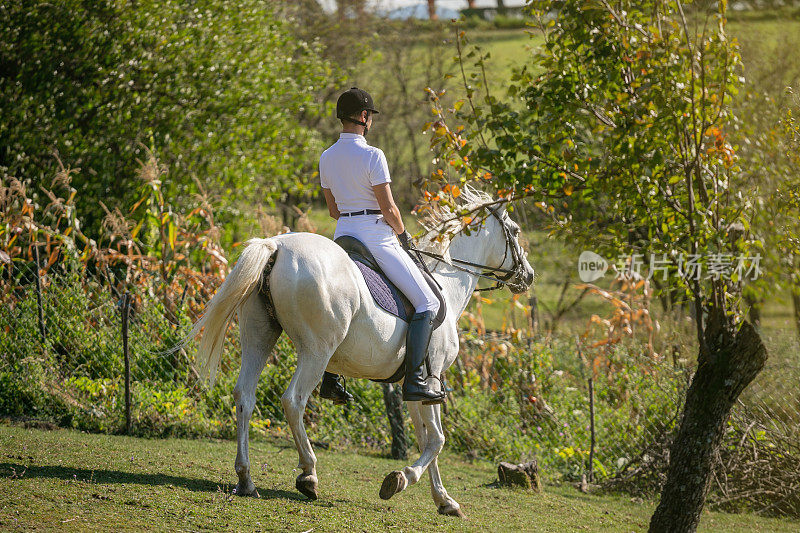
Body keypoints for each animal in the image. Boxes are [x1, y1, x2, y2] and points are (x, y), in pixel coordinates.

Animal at [189, 190, 532, 516]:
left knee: (245, 396)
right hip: (317, 351)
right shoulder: (432, 379)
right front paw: (402, 479)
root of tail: (276, 246)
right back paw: (309, 475)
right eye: (515, 230)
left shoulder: (416, 386)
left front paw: (443, 501)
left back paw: (246, 479)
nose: (527, 275)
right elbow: (437, 440)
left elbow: (426, 439)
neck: (446, 284)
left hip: (259, 339)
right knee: (293, 401)